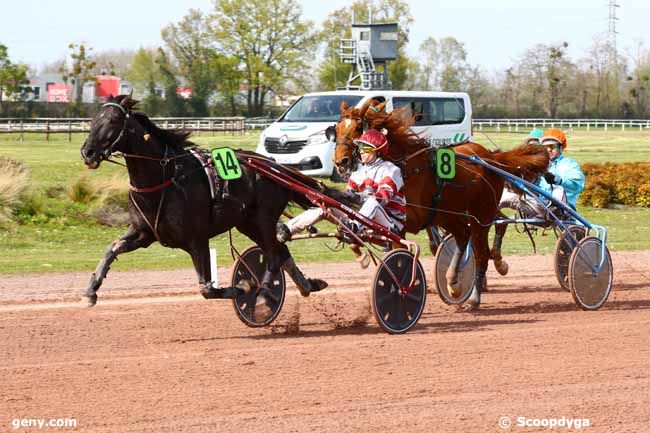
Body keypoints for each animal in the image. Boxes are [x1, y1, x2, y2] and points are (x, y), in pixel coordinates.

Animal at [81, 94, 344, 306]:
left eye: (114, 120)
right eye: (93, 120)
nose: (87, 153)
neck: (166, 178)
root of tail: (274, 166)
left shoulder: (197, 239)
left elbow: (207, 289)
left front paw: (243, 288)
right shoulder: (144, 233)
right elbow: (112, 248)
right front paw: (91, 291)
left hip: (263, 218)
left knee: (272, 256)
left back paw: (264, 292)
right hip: (248, 223)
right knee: (281, 251)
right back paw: (307, 285)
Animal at [330, 99, 548, 308]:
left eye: (358, 128)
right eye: (337, 128)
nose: (340, 162)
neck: (406, 167)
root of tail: (492, 158)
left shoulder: (405, 222)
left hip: (482, 215)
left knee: (481, 253)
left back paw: (474, 297)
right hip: (448, 215)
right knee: (463, 235)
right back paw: (453, 282)